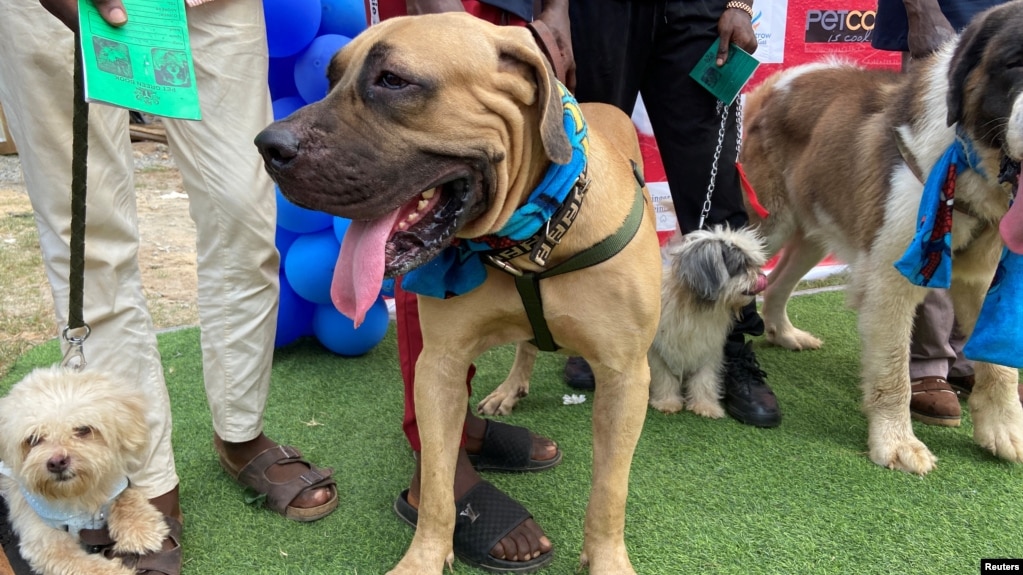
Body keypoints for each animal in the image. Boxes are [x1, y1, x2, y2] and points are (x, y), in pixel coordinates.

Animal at [0, 364, 167, 568]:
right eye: (33, 439)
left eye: (83, 429)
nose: (57, 462)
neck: (77, 495)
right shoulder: (44, 540)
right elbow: (84, 565)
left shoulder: (116, 484)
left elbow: (126, 496)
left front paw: (140, 529)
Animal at [646, 225, 769, 415]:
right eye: (741, 265)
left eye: (754, 264)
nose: (761, 276)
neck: (695, 305)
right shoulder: (658, 350)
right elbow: (664, 377)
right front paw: (667, 402)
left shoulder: (708, 349)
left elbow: (704, 379)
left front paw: (705, 406)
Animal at [740, 0, 1023, 472]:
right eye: (1016, 63)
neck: (968, 156)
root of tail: (776, 81)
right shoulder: (892, 278)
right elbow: (894, 372)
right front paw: (896, 443)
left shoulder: (983, 277)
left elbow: (998, 362)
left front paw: (1004, 429)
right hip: (768, 223)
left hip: (819, 225)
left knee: (777, 283)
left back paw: (784, 333)